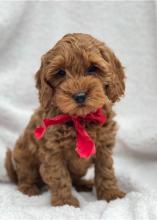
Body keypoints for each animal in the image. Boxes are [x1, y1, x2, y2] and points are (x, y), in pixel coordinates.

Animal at [5, 33, 125, 207]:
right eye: (61, 72)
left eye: (93, 68)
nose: (80, 96)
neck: (80, 119)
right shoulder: (53, 152)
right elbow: (59, 177)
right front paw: (65, 202)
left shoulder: (104, 148)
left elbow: (106, 171)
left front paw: (111, 193)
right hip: (23, 154)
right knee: (26, 176)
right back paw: (29, 189)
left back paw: (83, 184)